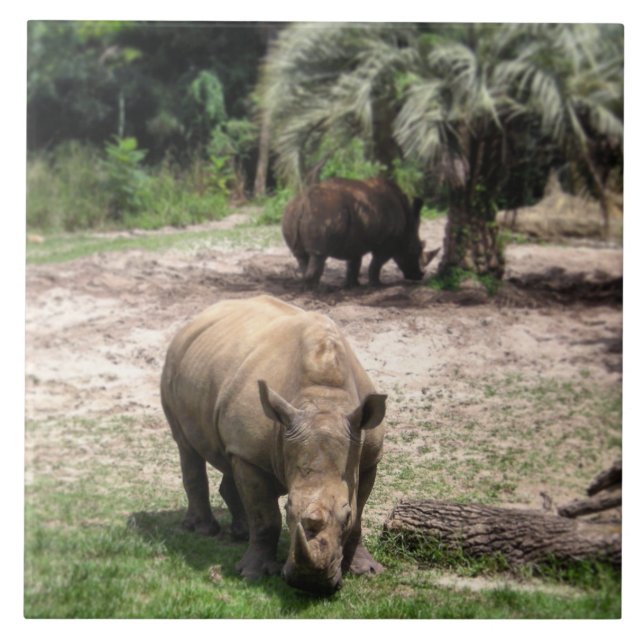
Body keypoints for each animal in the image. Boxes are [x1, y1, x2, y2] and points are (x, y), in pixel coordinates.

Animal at [160, 295, 387, 594]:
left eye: (345, 516)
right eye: (289, 509)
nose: (310, 584)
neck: (324, 400)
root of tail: (197, 318)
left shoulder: (369, 457)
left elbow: (360, 516)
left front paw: (366, 570)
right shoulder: (251, 454)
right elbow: (266, 517)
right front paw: (252, 573)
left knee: (228, 461)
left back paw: (240, 533)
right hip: (173, 363)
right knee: (186, 447)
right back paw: (204, 530)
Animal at [282, 177, 439, 288]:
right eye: (416, 249)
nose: (419, 275)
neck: (408, 225)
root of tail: (303, 201)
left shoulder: (355, 240)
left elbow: (354, 263)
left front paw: (353, 286)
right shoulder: (387, 244)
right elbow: (376, 264)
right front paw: (377, 285)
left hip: (291, 212)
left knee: (301, 255)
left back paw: (308, 286)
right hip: (323, 212)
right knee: (318, 254)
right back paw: (317, 289)